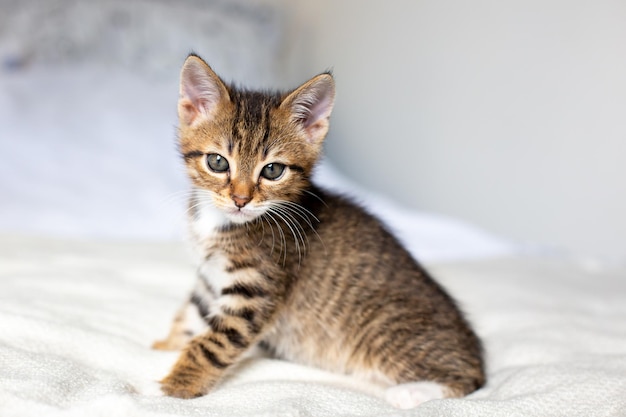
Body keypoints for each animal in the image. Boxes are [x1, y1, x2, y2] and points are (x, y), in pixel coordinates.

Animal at [152, 53, 482, 408]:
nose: (241, 199)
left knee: (469, 382)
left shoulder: (258, 290)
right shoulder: (208, 279)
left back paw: (411, 392)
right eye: (217, 162)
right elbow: (193, 314)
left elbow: (213, 343)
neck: (221, 224)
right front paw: (165, 346)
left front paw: (176, 387)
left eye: (273, 170)